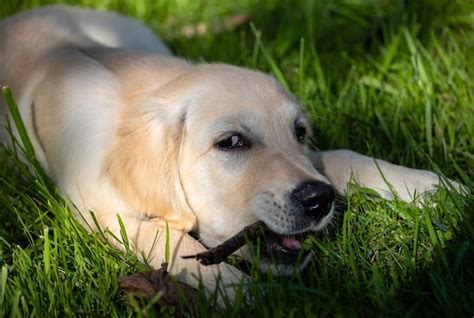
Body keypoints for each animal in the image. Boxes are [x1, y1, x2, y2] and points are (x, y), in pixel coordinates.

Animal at [0, 5, 460, 300]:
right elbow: (165, 238)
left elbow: (341, 156)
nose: (320, 200)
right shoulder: (99, 215)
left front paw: (435, 187)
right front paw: (252, 297)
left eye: (299, 133)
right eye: (232, 143)